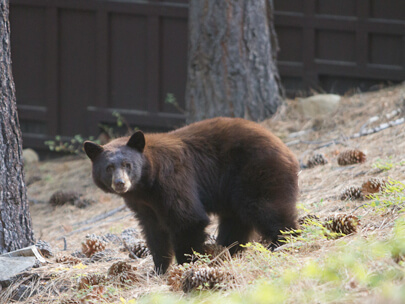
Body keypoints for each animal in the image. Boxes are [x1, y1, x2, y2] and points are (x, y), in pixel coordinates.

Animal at [83, 116, 298, 274]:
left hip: (256, 172)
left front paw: (188, 264)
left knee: (267, 208)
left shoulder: (173, 180)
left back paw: (282, 242)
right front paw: (158, 269)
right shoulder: (143, 205)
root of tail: (287, 150)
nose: (120, 183)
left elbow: (187, 219)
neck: (146, 185)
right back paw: (226, 250)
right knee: (236, 221)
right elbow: (154, 232)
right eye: (109, 168)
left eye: (128, 164)